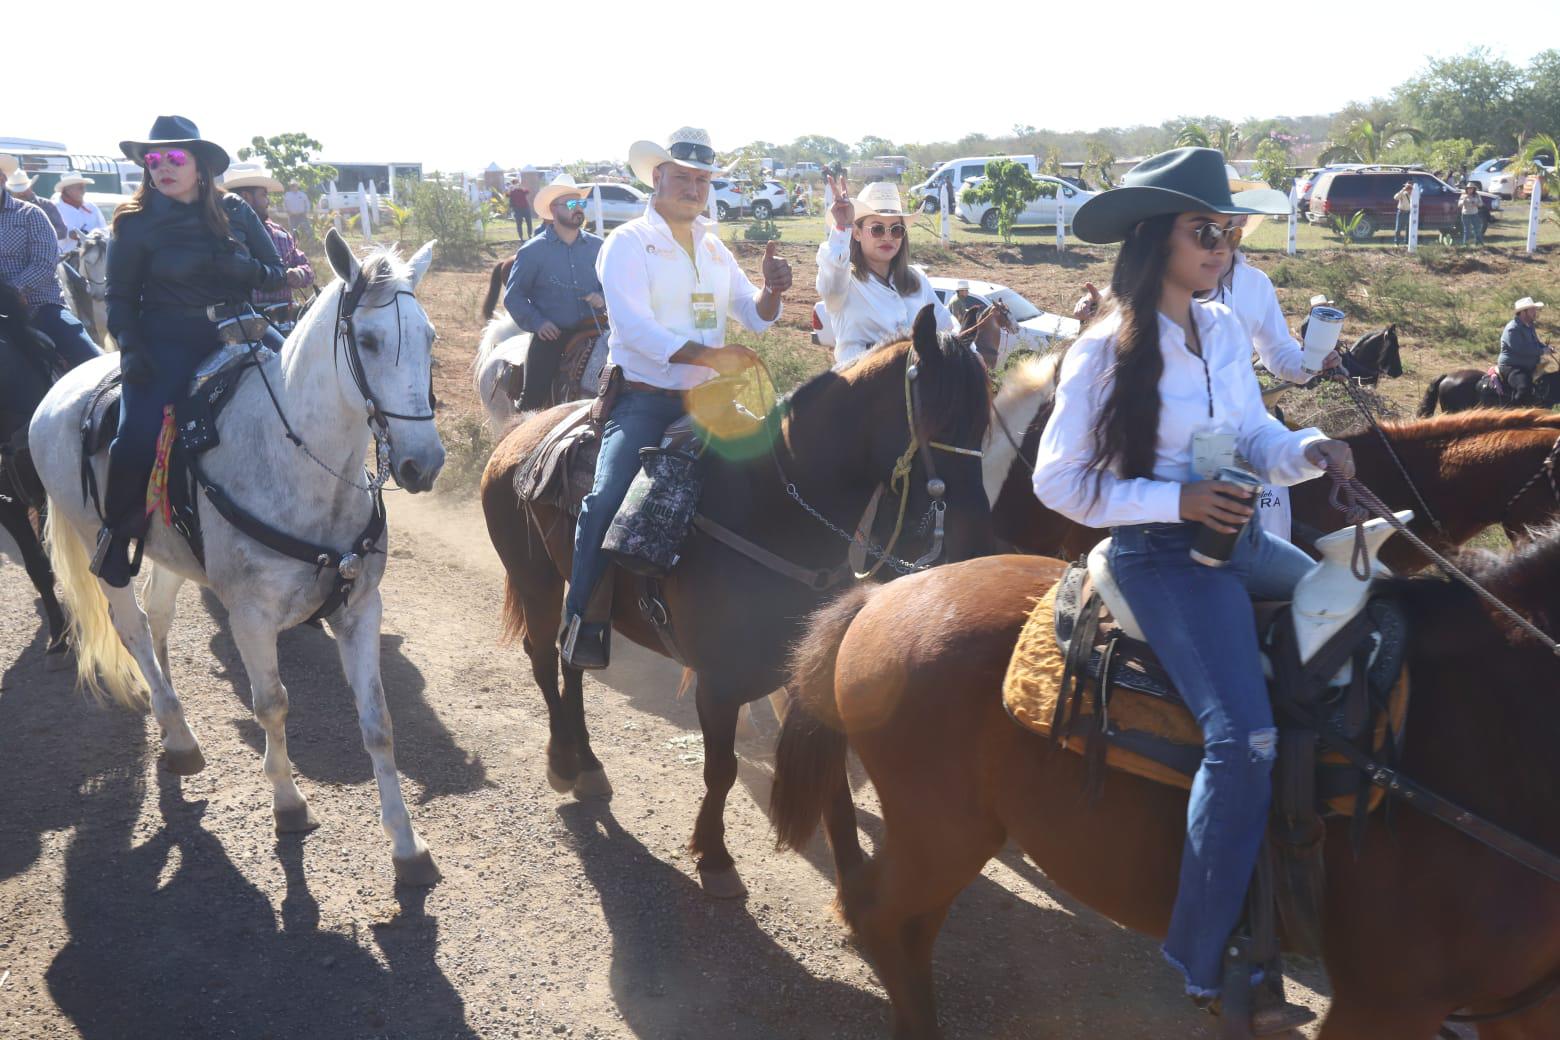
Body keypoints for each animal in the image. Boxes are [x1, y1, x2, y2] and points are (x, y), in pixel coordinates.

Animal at [31, 227, 446, 885]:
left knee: (158, 616)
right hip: (106, 547)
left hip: (170, 555)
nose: (422, 463)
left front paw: (406, 846)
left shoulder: (360, 609)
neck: (297, 460)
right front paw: (288, 803)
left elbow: (379, 725)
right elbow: (271, 705)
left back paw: (168, 714)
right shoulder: (250, 617)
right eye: (369, 340)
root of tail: (61, 389)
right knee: (133, 628)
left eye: (429, 337)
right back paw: (179, 736)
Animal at [480, 305, 985, 898]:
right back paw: (562, 760)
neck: (769, 512)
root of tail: (522, 430)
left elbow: (832, 779)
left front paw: (855, 876)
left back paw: (587, 764)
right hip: (534, 580)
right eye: (939, 416)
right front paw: (715, 857)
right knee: (542, 660)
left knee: (571, 661)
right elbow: (720, 769)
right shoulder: (718, 685)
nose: (975, 536)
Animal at [780, 548, 1560, 1035]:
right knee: (876, 913)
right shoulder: (1387, 1001)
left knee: (905, 925)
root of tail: (885, 592)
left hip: (949, 840)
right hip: (942, 834)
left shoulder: (1519, 1006)